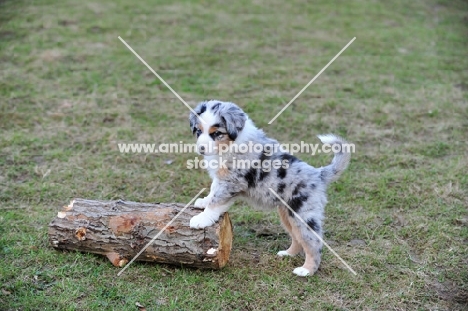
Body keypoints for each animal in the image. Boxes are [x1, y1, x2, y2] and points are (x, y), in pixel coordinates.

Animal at [188, 100, 350, 278]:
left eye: (217, 133)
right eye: (198, 131)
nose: (201, 149)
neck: (230, 144)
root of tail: (318, 174)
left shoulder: (231, 182)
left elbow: (216, 201)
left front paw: (201, 219)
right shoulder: (221, 178)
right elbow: (212, 191)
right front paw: (203, 202)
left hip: (303, 214)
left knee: (314, 242)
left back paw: (306, 270)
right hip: (287, 214)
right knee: (297, 238)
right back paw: (287, 254)